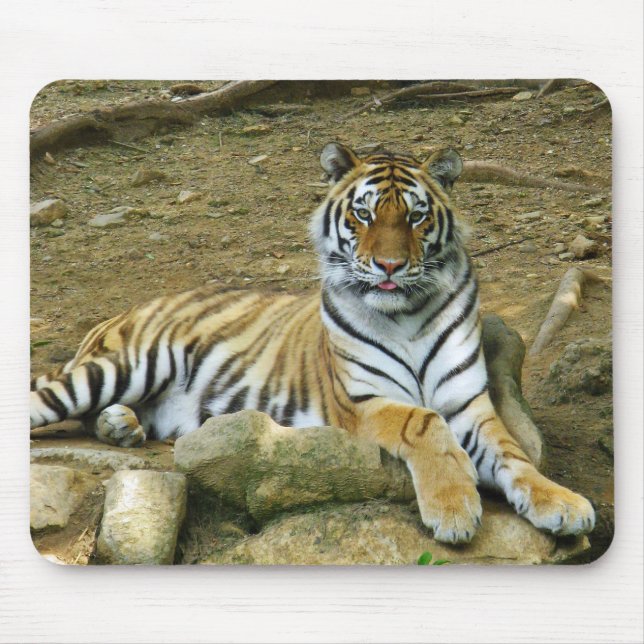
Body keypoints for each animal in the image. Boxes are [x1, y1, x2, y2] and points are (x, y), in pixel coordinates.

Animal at [30, 142, 595, 544]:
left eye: (415, 217)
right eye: (364, 214)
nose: (390, 266)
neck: (407, 315)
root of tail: (127, 310)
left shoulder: (470, 402)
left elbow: (513, 453)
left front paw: (562, 504)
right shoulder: (364, 401)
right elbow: (424, 422)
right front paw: (454, 509)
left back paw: (121, 425)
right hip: (119, 366)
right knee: (48, 401)